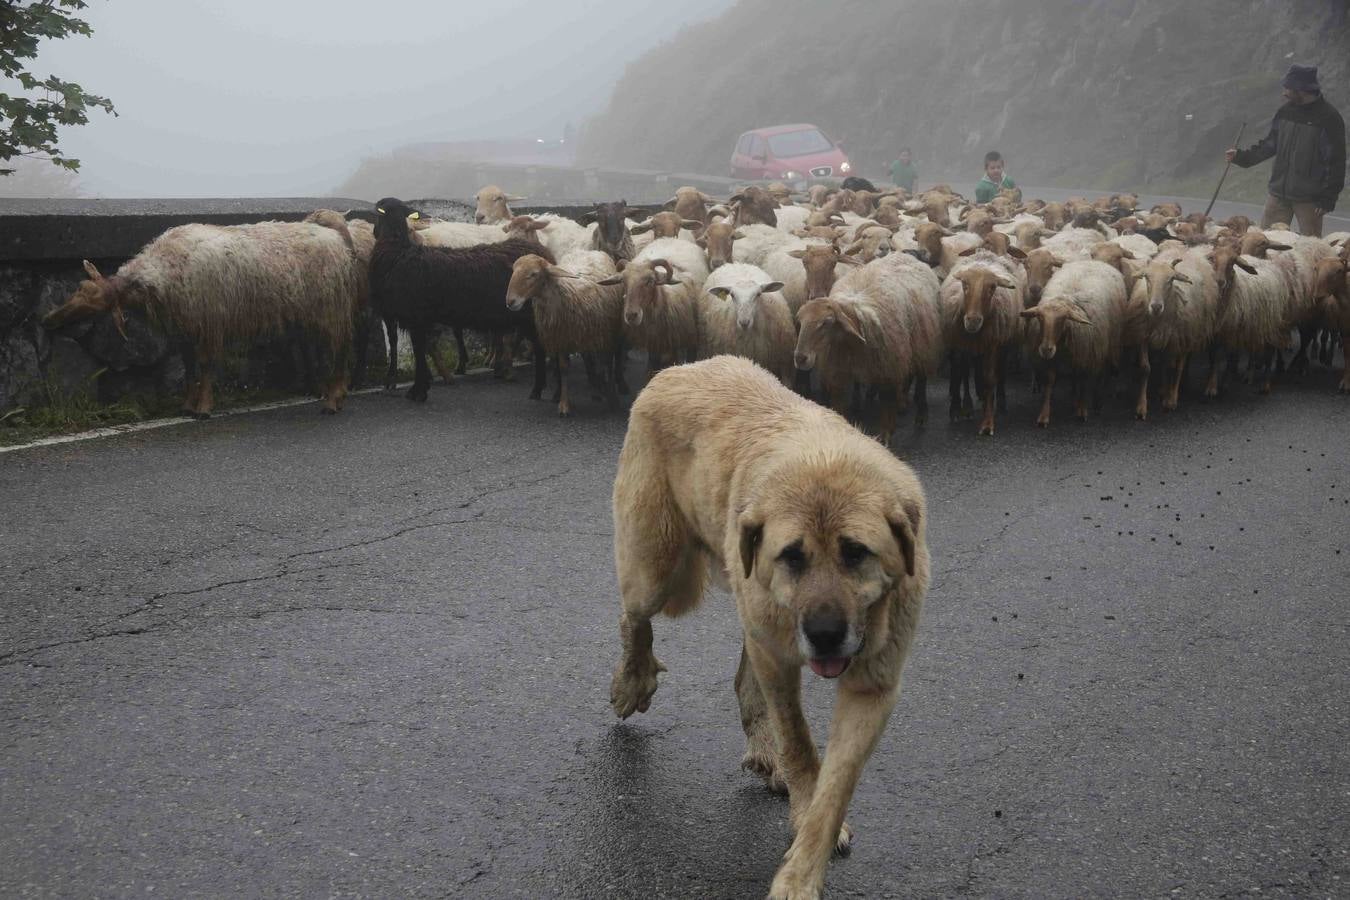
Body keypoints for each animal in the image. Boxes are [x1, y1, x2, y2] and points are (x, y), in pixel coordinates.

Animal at [369, 201, 553, 404]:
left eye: (376, 215)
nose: (374, 232)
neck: (397, 250)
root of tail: (541, 253)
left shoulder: (415, 318)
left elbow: (419, 350)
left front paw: (418, 390)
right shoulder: (411, 318)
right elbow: (419, 348)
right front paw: (420, 386)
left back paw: (534, 385)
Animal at [612, 356, 928, 895]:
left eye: (856, 553)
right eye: (792, 556)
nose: (824, 635)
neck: (820, 460)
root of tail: (683, 366)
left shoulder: (872, 688)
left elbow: (835, 785)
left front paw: (803, 870)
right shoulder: (780, 659)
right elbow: (798, 740)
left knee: (743, 676)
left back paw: (762, 752)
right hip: (656, 571)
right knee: (635, 616)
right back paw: (634, 680)